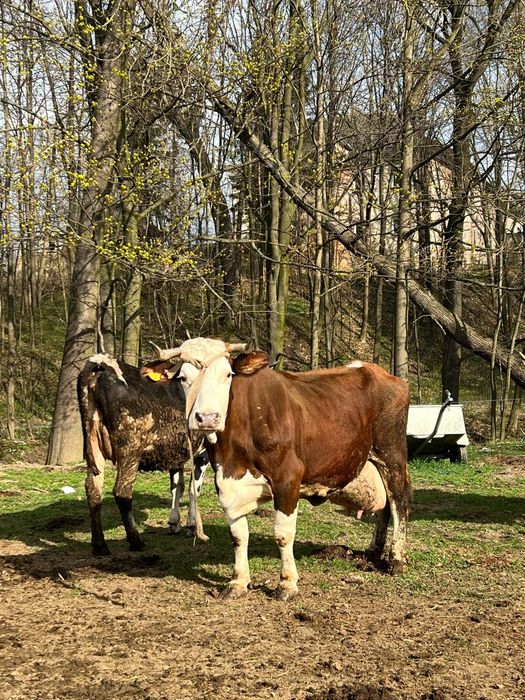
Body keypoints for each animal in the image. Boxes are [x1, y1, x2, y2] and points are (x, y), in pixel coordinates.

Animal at [77, 353, 209, 556]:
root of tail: (99, 364)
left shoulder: (175, 453)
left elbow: (177, 487)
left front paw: (174, 523)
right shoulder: (204, 453)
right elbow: (193, 489)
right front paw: (192, 526)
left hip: (93, 447)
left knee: (93, 489)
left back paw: (99, 545)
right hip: (130, 449)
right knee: (122, 491)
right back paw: (135, 540)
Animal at [142, 337, 412, 601]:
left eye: (227, 374)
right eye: (182, 377)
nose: (207, 418)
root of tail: (377, 370)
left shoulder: (288, 478)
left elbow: (283, 535)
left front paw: (287, 584)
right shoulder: (225, 481)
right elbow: (238, 536)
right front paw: (237, 582)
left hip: (392, 453)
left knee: (399, 501)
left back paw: (397, 559)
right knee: (384, 509)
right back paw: (373, 551)